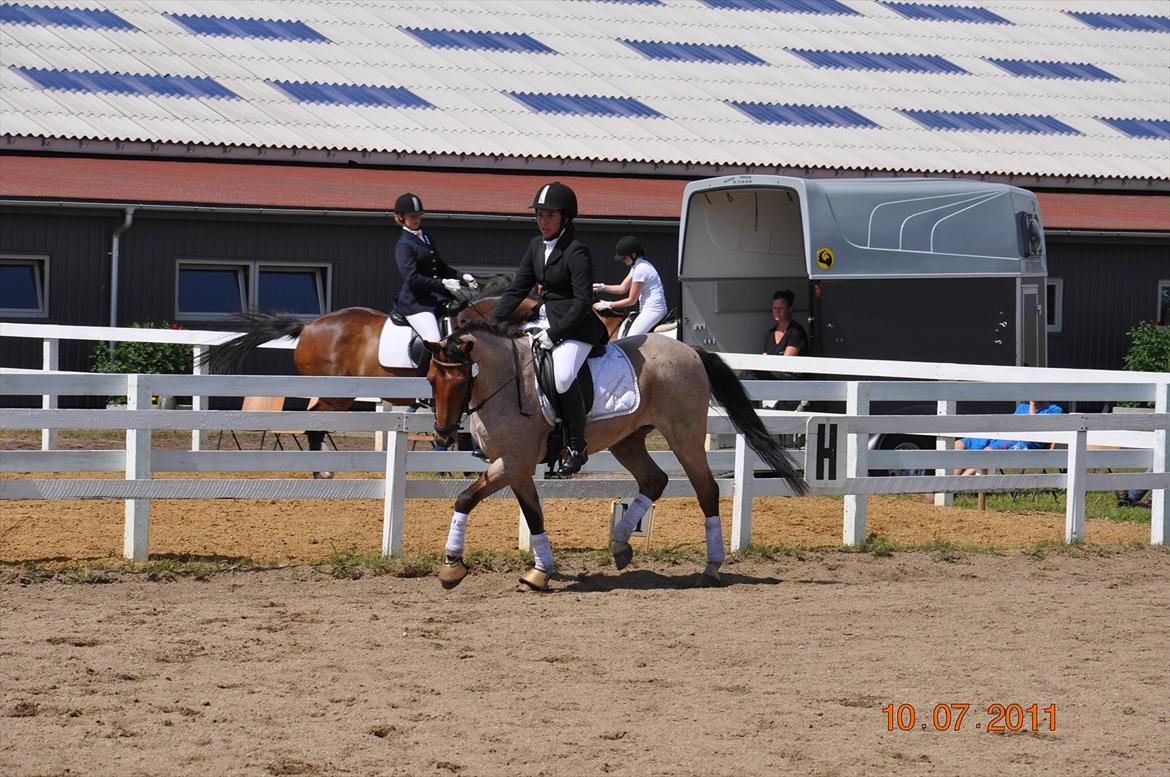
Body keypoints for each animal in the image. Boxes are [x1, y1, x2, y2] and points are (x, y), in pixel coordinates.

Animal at [425, 318, 809, 592]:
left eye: (461, 381)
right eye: (430, 378)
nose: (443, 434)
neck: (505, 381)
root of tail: (689, 350)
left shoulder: (514, 462)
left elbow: (465, 499)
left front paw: (451, 567)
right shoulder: (515, 467)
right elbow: (533, 516)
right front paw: (540, 572)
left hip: (684, 436)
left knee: (706, 489)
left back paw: (712, 567)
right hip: (626, 441)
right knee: (655, 480)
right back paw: (622, 546)